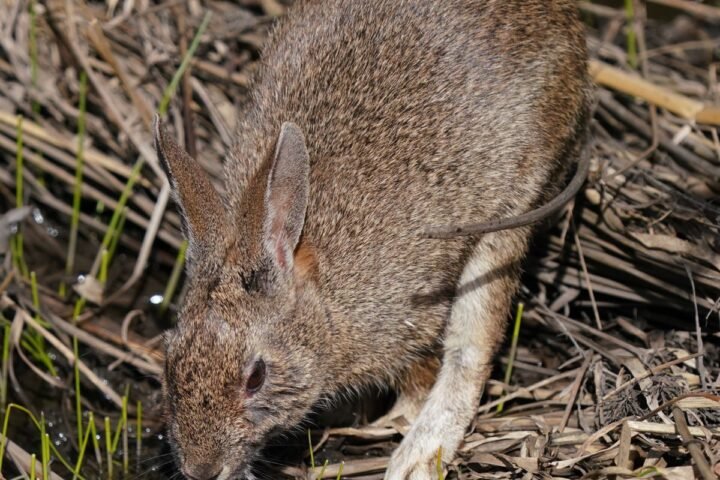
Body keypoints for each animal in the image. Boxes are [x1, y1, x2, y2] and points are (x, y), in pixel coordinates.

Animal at [155, 0, 591, 479]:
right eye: (168, 362)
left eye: (257, 376)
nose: (201, 470)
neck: (322, 305)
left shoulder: (412, 318)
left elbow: (425, 371)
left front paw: (393, 423)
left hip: (510, 212)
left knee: (473, 346)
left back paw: (417, 457)